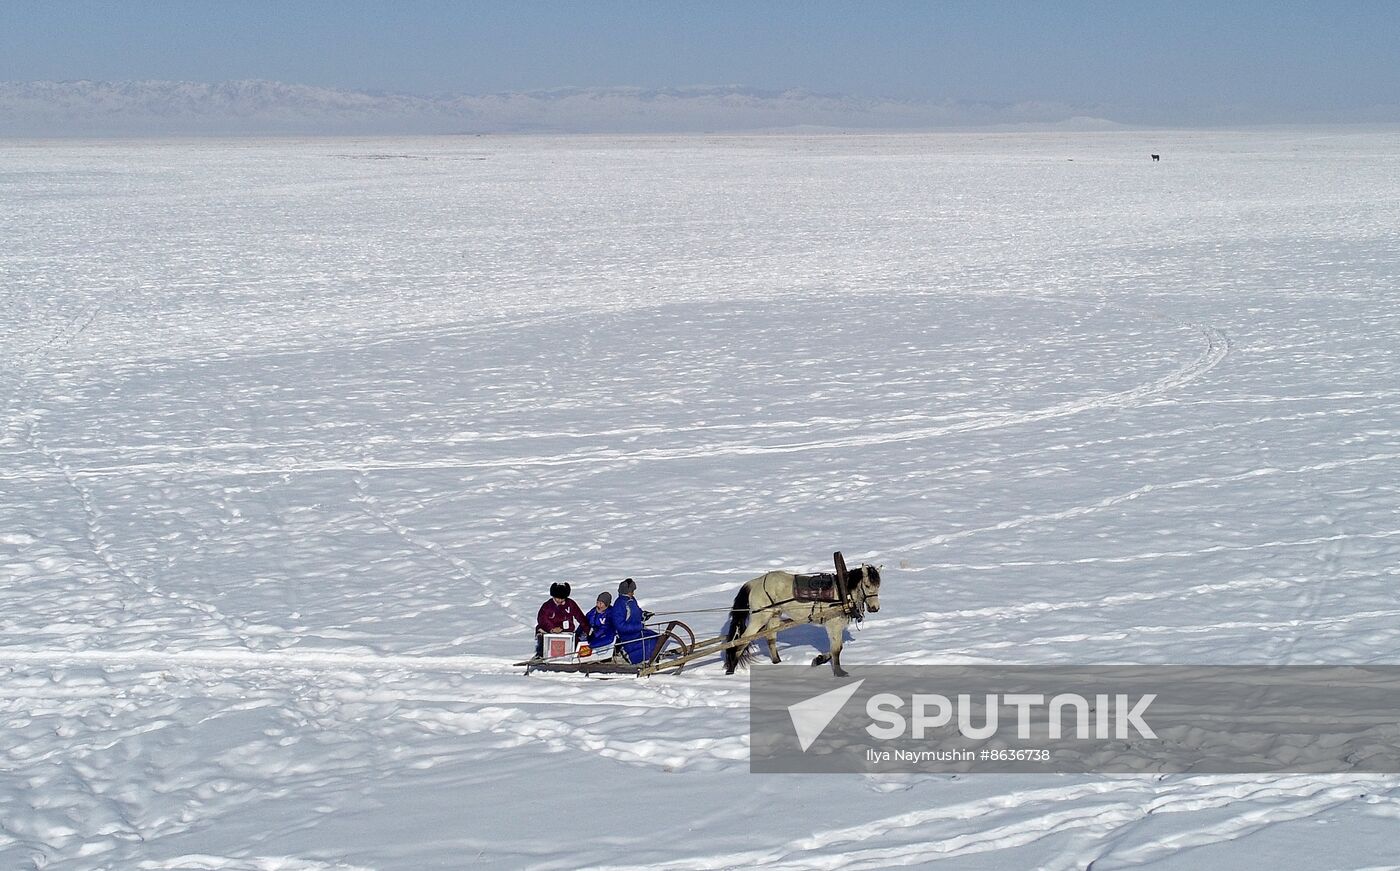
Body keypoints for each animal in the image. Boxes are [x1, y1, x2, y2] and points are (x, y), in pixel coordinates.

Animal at [716, 562, 879, 680]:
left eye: (878, 585)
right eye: (867, 585)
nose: (875, 608)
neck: (842, 593)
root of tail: (755, 582)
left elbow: (834, 649)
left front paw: (819, 659)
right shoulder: (834, 625)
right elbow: (837, 649)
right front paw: (839, 672)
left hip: (774, 616)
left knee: (770, 638)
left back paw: (777, 662)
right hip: (760, 617)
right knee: (742, 640)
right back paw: (731, 669)